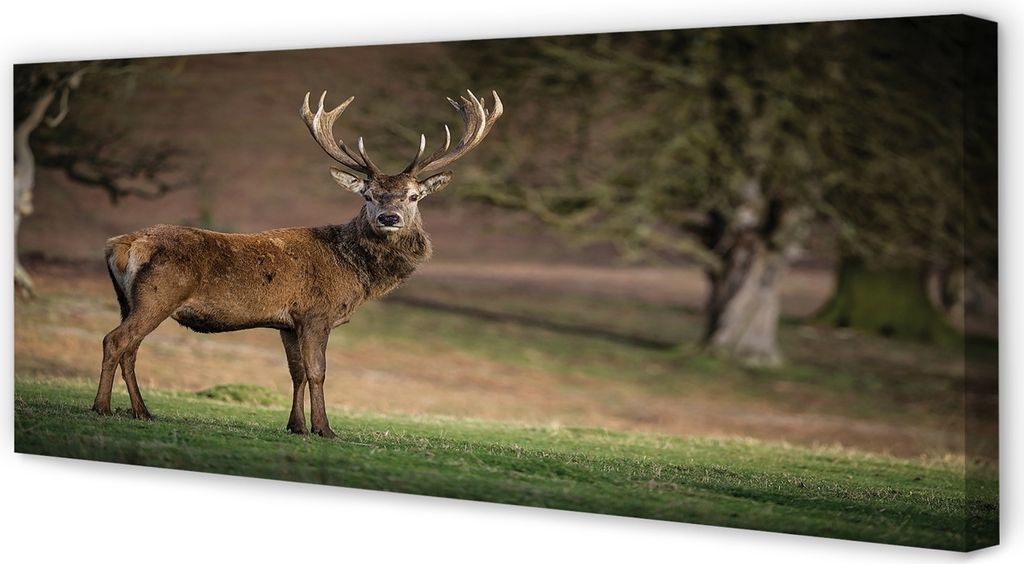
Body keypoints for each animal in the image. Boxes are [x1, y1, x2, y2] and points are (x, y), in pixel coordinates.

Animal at [92, 89, 503, 438]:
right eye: (369, 195)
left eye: (414, 196)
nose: (389, 217)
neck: (356, 274)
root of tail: (121, 245)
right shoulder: (316, 312)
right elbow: (318, 372)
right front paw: (324, 429)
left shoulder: (288, 323)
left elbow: (297, 373)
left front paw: (297, 426)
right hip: (158, 296)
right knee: (116, 340)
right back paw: (102, 407)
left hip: (127, 300)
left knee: (130, 348)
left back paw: (142, 411)